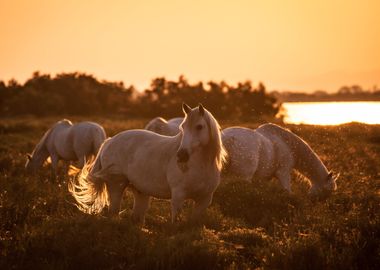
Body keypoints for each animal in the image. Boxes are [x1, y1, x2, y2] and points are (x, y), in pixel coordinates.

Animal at [69, 104, 226, 224]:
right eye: (183, 128)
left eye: (199, 126)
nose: (181, 155)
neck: (201, 165)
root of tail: (109, 141)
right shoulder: (178, 197)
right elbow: (175, 223)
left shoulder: (204, 200)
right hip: (116, 186)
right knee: (113, 212)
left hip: (141, 192)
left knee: (136, 217)